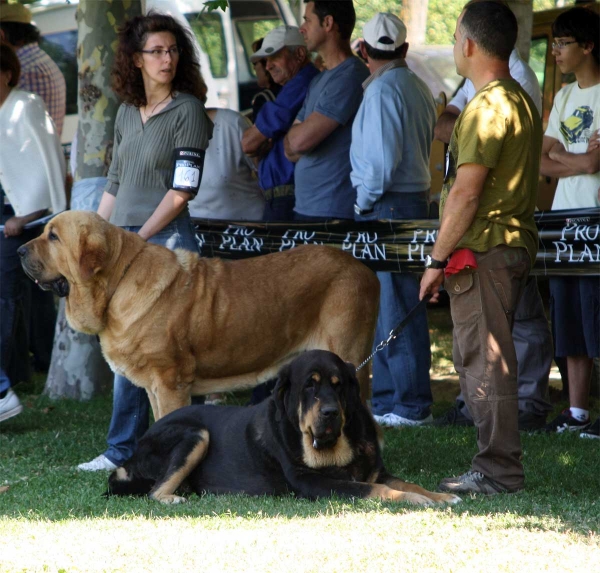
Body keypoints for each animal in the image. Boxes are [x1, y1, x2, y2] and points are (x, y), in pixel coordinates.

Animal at [18, 210, 380, 416]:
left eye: (53, 236)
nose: (19, 249)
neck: (117, 282)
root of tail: (364, 268)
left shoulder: (170, 382)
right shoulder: (154, 387)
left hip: (348, 356)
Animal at [105, 348, 462, 504]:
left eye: (338, 386)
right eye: (310, 386)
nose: (330, 412)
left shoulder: (375, 471)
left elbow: (407, 482)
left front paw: (440, 496)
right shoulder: (313, 483)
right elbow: (380, 490)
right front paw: (418, 501)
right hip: (195, 433)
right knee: (154, 491)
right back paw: (173, 498)